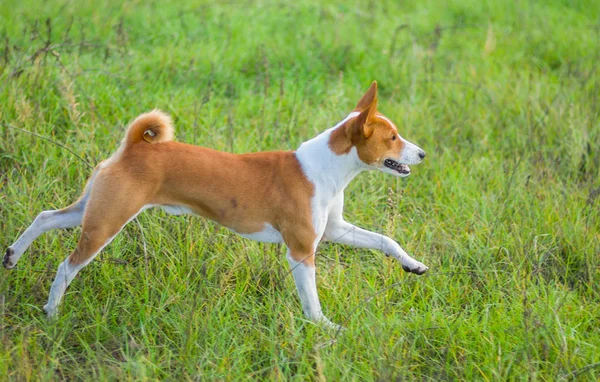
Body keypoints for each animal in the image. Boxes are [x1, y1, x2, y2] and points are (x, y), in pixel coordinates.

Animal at [3, 81, 426, 328]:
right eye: (392, 137)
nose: (422, 153)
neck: (327, 168)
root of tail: (135, 147)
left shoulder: (335, 230)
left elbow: (386, 240)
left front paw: (413, 265)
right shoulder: (301, 250)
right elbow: (312, 301)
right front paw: (324, 329)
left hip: (93, 210)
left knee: (45, 217)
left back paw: (12, 255)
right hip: (107, 223)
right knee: (66, 266)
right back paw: (52, 312)